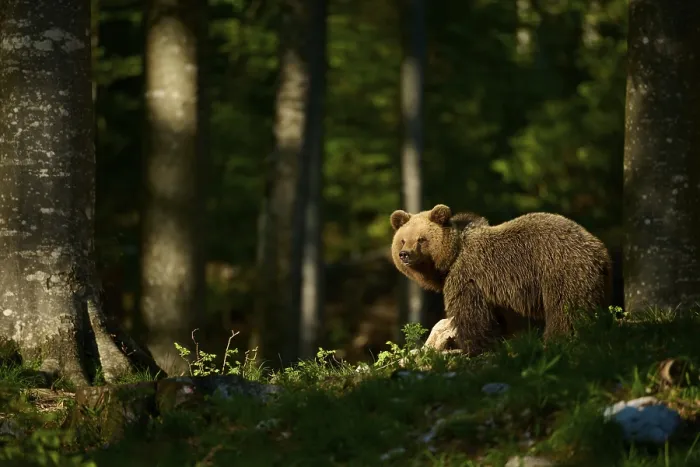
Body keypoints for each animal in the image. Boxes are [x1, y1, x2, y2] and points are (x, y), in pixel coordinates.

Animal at [390, 204, 612, 355]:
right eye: (402, 239)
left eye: (421, 239)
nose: (405, 254)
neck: (451, 259)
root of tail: (600, 250)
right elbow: (493, 318)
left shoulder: (468, 277)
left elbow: (470, 316)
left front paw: (469, 348)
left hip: (561, 270)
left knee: (566, 310)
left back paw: (558, 338)